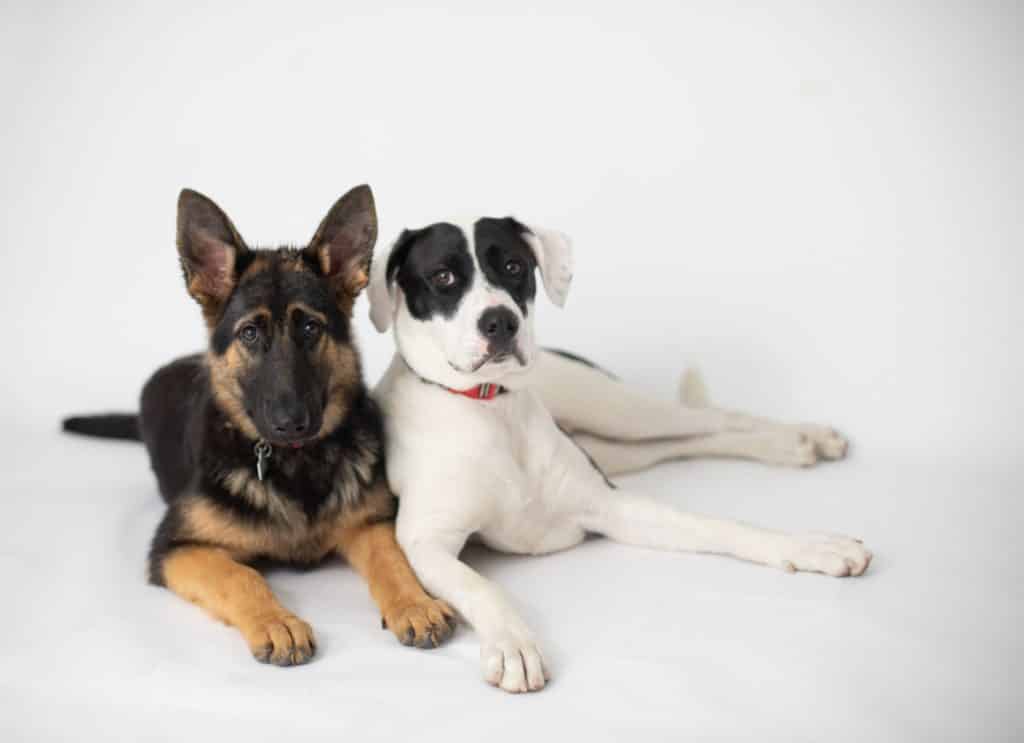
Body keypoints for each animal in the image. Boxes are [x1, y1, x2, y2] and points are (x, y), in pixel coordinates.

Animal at [60, 186, 452, 671]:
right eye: (249, 334)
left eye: (310, 327)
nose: (292, 422)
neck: (295, 464)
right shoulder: (178, 549)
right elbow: (240, 575)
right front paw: (276, 621)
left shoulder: (369, 523)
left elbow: (392, 560)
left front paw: (415, 603)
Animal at [368, 217, 872, 695]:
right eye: (443, 276)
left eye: (513, 266)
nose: (501, 322)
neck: (492, 409)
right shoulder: (424, 542)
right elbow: (480, 585)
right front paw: (513, 644)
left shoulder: (612, 506)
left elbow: (720, 526)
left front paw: (810, 546)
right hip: (616, 446)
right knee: (681, 441)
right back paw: (798, 444)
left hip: (619, 411)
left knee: (712, 418)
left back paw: (803, 439)